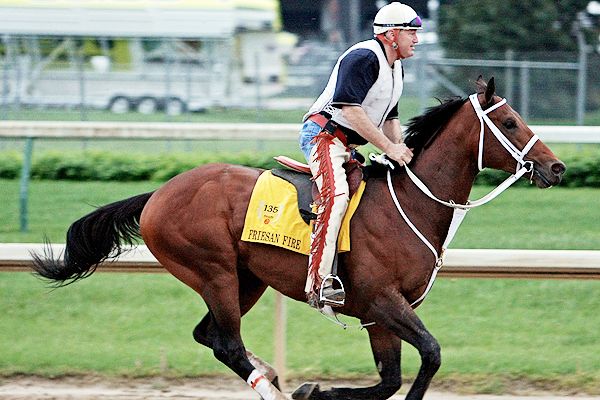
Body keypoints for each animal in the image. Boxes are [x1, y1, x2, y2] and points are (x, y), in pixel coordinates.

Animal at [31, 77, 566, 400]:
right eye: (511, 121)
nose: (556, 166)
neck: (410, 204)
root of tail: (159, 193)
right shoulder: (382, 300)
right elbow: (430, 356)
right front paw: (314, 389)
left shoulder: (381, 314)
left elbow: (390, 378)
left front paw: (317, 389)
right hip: (214, 271)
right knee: (226, 343)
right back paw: (270, 384)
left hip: (246, 279)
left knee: (210, 336)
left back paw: (269, 373)